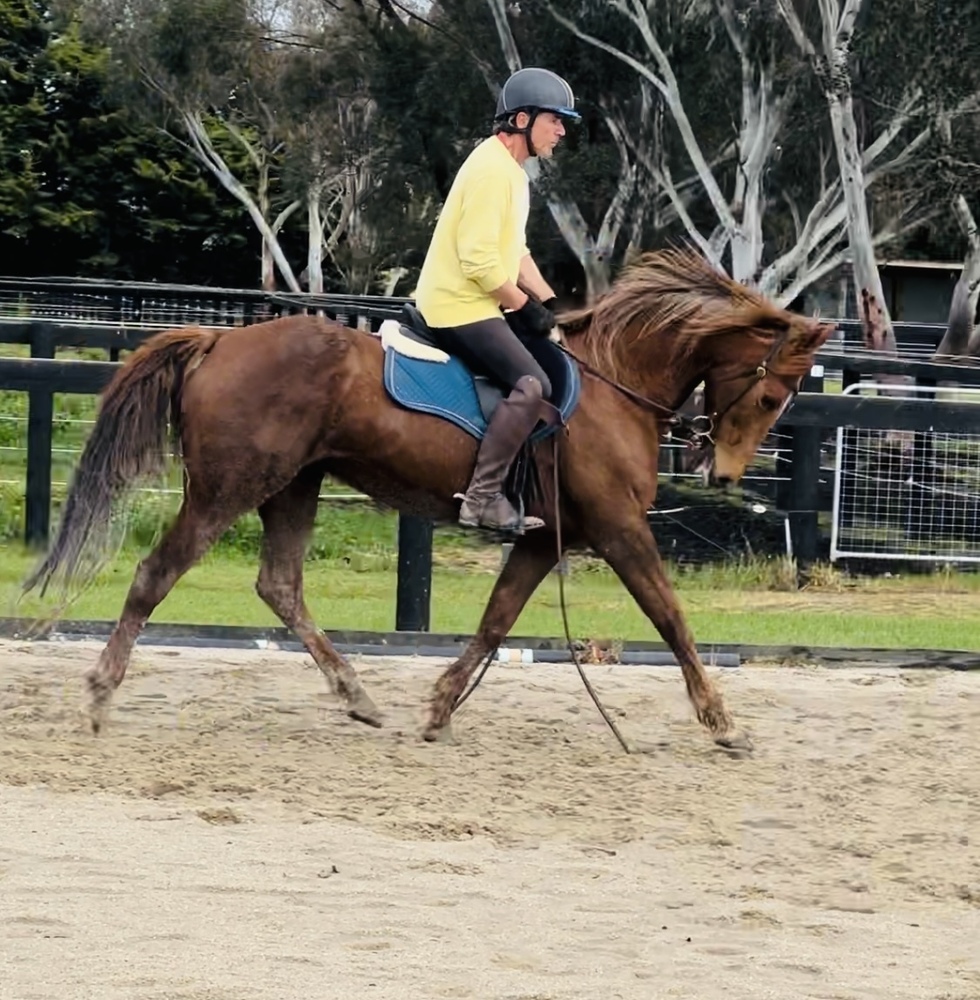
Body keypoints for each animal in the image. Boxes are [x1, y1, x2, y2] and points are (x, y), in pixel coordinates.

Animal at [22, 249, 834, 751]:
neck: (613, 385)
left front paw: (441, 709)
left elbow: (495, 621)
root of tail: (220, 341)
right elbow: (670, 617)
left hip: (294, 484)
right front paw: (722, 722)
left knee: (279, 585)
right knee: (157, 575)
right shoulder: (618, 527)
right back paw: (100, 693)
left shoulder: (541, 537)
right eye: (770, 395)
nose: (722, 474)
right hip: (230, 488)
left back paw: (356, 693)